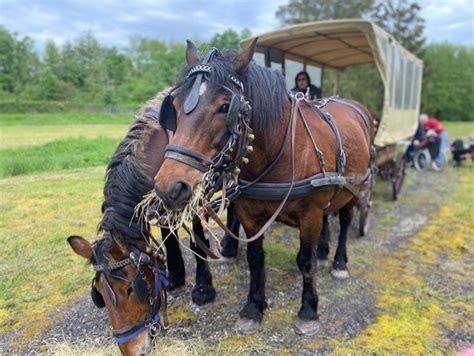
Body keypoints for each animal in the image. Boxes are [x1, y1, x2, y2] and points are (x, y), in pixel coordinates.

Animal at [155, 40, 374, 336]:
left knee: (346, 218)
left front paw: (308, 311)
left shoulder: (310, 214)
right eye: (174, 105)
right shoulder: (250, 214)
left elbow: (305, 261)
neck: (281, 151)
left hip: (353, 187)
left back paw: (339, 262)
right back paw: (323, 250)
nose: (168, 187)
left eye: (225, 107)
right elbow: (255, 258)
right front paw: (253, 308)